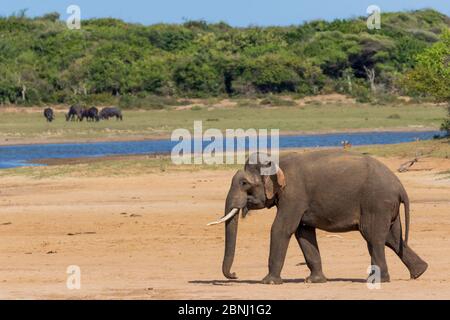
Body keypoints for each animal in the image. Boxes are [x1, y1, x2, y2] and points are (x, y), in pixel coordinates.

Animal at [209, 151, 430, 284]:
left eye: (244, 183)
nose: (234, 275)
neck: (277, 160)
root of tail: (400, 186)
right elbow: (303, 232)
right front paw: (314, 281)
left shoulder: (294, 194)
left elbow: (281, 228)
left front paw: (268, 282)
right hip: (386, 206)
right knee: (392, 238)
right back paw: (420, 272)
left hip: (376, 203)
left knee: (373, 237)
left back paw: (377, 280)